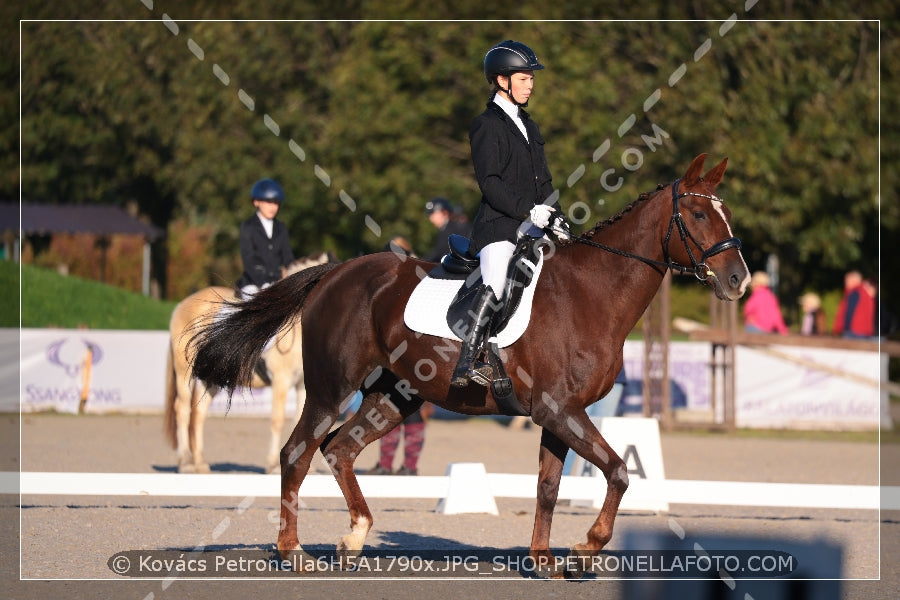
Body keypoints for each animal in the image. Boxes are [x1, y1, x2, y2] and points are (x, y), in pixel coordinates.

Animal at [164, 250, 334, 474]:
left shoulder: (301, 385)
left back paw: (200, 463)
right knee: (182, 410)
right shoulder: (281, 380)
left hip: (210, 377)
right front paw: (273, 465)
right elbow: (278, 421)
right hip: (185, 371)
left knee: (198, 415)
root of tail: (183, 304)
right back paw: (185, 463)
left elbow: (303, 423)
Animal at [192, 155, 752, 576]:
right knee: (297, 453)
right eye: (698, 215)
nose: (738, 281)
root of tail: (337, 272)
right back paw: (292, 551)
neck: (592, 293)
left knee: (340, 450)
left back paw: (354, 539)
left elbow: (549, 486)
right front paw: (585, 549)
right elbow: (617, 470)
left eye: (724, 213)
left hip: (394, 396)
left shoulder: (558, 415)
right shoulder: (559, 410)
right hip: (332, 387)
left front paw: (542, 560)